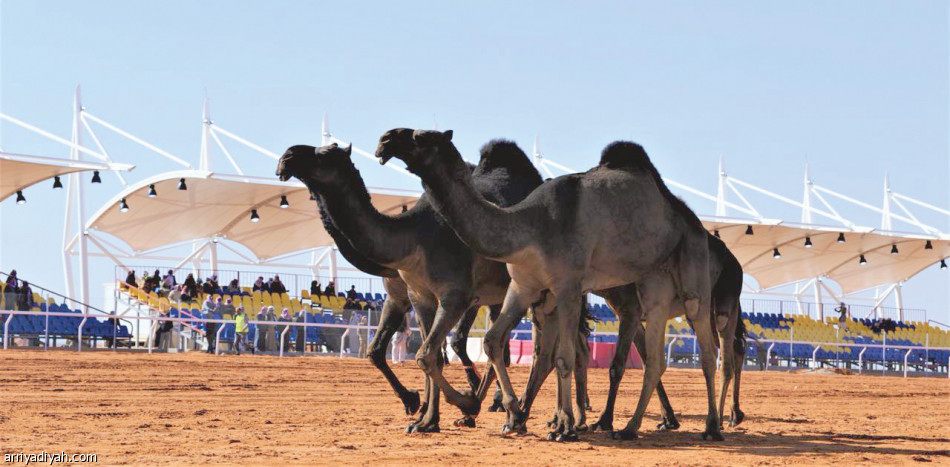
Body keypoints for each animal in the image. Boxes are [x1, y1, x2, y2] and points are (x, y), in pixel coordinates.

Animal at [276, 141, 544, 434]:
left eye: (324, 153)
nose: (287, 156)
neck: (412, 238)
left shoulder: (455, 295)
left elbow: (427, 354)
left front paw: (459, 403)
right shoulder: (411, 297)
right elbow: (406, 354)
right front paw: (426, 416)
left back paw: (511, 411)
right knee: (501, 346)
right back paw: (497, 410)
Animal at [376, 129, 724, 442]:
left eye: (421, 137)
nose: (384, 141)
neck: (528, 226)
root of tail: (692, 221)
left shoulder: (568, 286)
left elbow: (563, 358)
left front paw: (563, 428)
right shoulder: (523, 286)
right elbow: (492, 341)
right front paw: (510, 415)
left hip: (693, 271)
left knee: (706, 350)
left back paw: (712, 427)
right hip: (652, 287)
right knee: (654, 359)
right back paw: (629, 427)